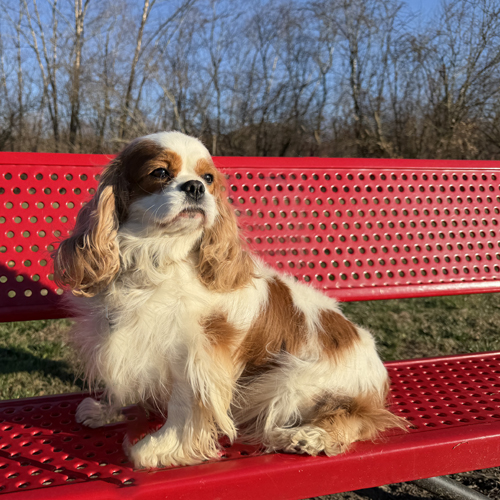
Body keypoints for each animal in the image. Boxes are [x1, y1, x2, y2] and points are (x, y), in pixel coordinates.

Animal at [53, 131, 405, 469]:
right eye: (160, 173)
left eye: (208, 178)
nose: (195, 187)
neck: (158, 256)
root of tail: (376, 365)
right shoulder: (123, 335)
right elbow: (120, 380)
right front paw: (104, 410)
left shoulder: (199, 351)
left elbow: (185, 403)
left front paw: (160, 448)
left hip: (291, 379)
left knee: (362, 419)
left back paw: (306, 436)